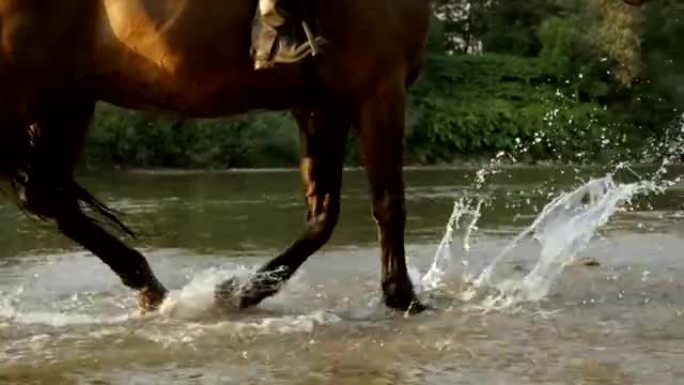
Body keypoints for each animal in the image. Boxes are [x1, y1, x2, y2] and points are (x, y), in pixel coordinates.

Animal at [0, 0, 432, 316]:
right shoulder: (379, 90)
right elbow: (388, 204)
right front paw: (403, 298)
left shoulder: (322, 105)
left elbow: (322, 215)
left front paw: (240, 292)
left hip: (65, 101)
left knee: (47, 198)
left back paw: (150, 288)